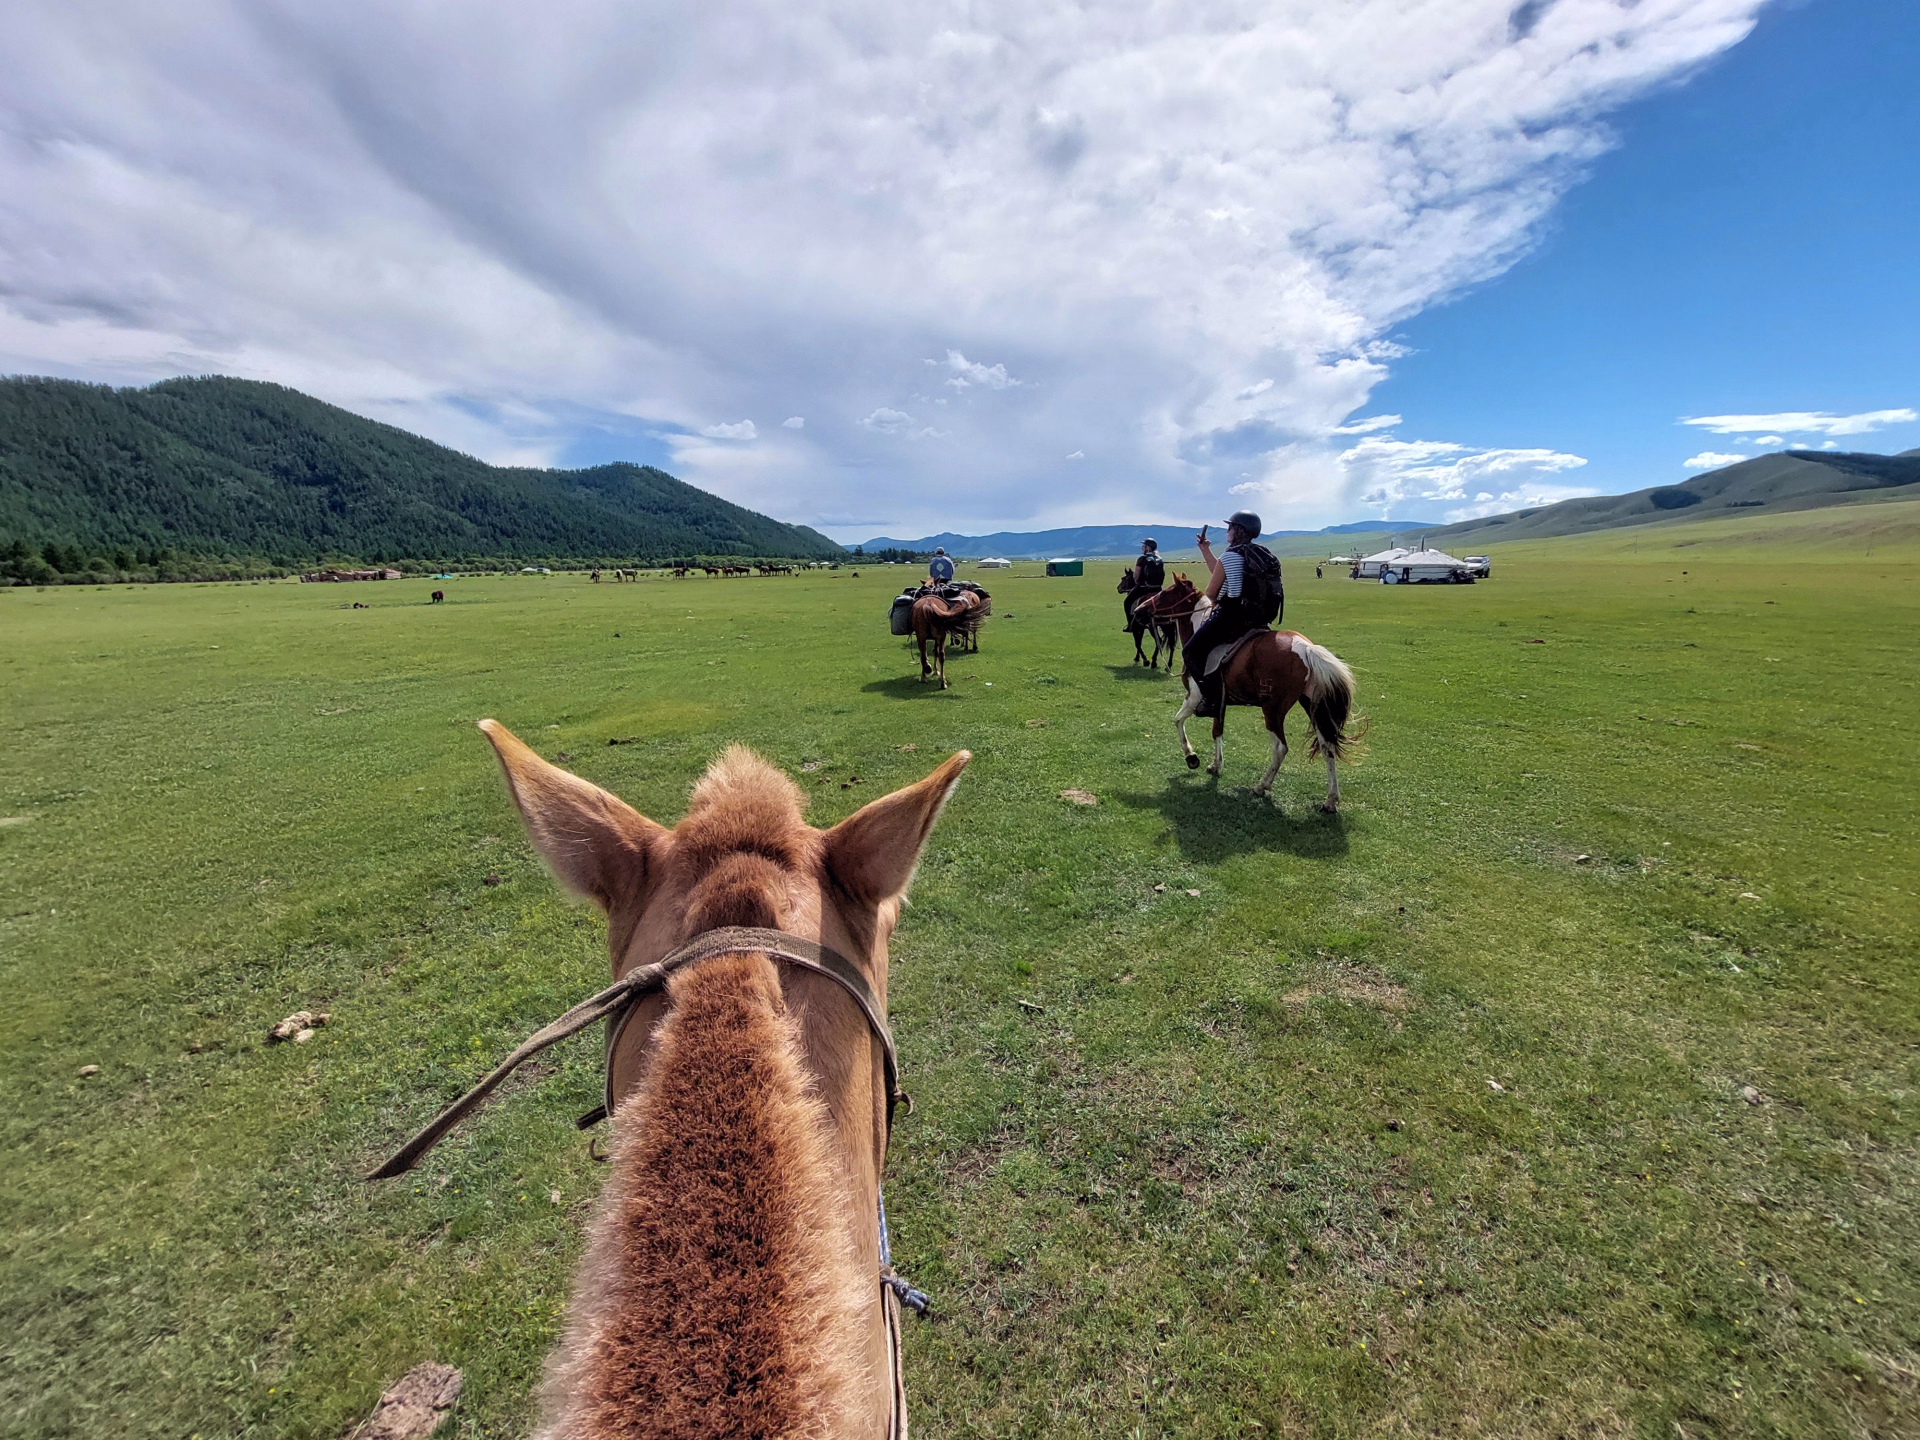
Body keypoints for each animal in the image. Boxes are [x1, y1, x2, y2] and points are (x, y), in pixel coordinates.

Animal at [1141, 576, 1358, 809]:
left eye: (1165, 593)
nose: (1139, 610)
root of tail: (1305, 648)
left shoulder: (1195, 697)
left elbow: (1178, 720)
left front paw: (1192, 757)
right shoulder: (1218, 702)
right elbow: (1217, 731)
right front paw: (1215, 765)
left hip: (1272, 710)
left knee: (1280, 748)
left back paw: (1262, 786)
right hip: (1313, 707)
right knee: (1327, 746)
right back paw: (1331, 800)